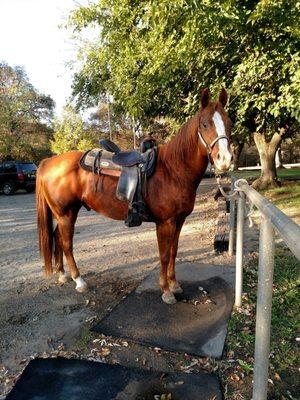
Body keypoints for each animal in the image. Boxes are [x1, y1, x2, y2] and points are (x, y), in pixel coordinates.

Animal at [35, 89, 232, 304]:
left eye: (229, 122)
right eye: (205, 124)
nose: (225, 159)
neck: (173, 170)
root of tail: (48, 161)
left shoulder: (179, 221)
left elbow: (174, 251)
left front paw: (175, 285)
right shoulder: (165, 223)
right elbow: (164, 255)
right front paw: (166, 291)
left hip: (66, 213)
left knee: (57, 237)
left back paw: (62, 274)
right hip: (66, 214)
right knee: (66, 244)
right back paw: (79, 281)